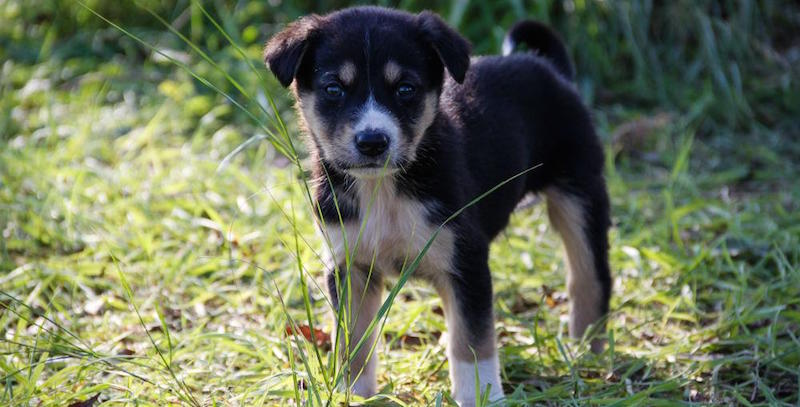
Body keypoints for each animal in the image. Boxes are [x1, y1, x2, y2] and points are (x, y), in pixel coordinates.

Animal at [264, 5, 612, 404]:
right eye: (333, 89)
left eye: (405, 89)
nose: (372, 142)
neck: (386, 190)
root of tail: (549, 69)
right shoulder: (350, 265)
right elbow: (354, 341)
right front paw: (353, 393)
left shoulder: (466, 262)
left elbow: (472, 342)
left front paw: (479, 395)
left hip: (580, 192)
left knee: (589, 276)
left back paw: (587, 352)